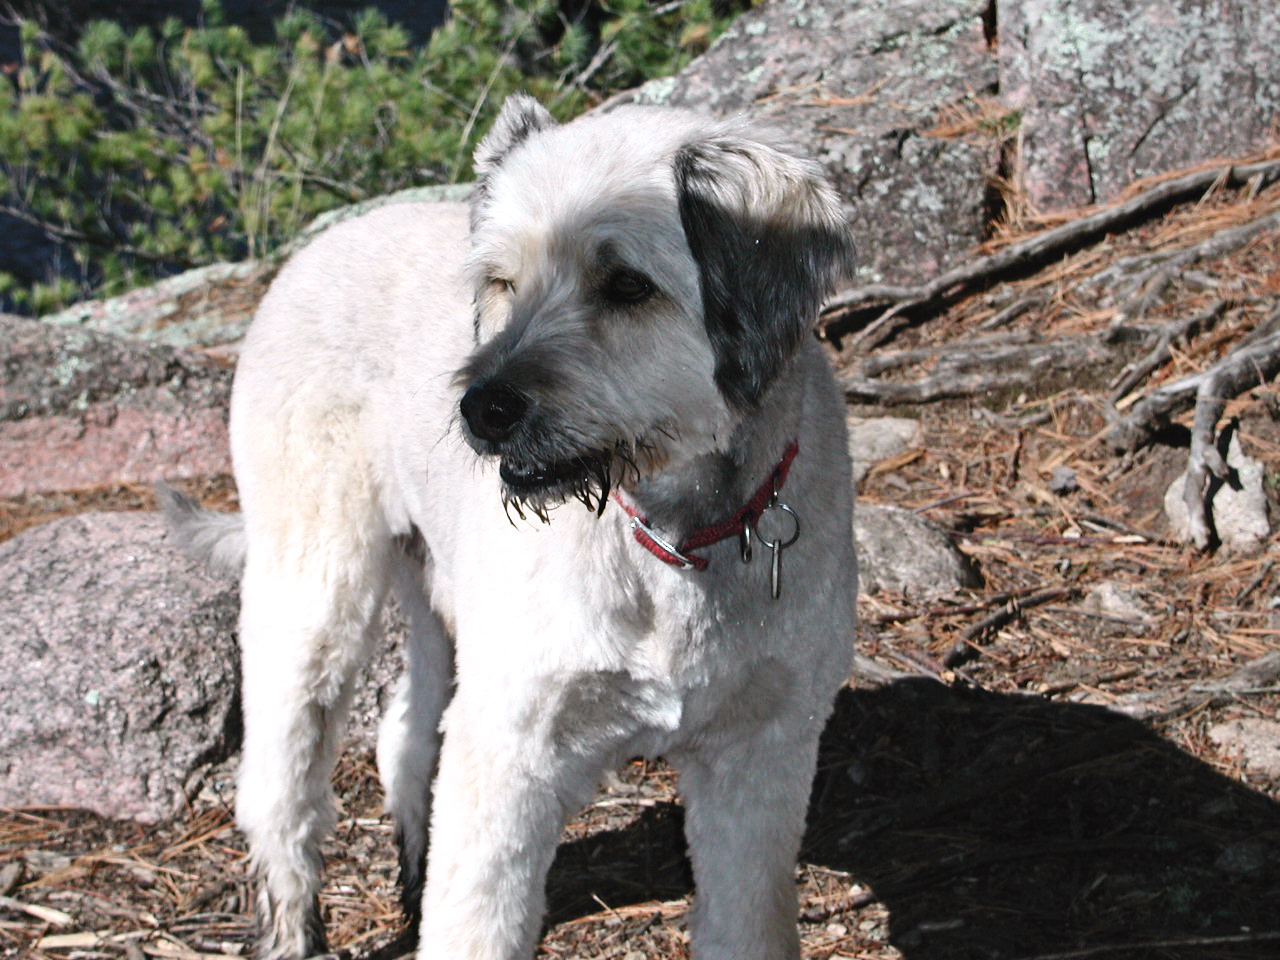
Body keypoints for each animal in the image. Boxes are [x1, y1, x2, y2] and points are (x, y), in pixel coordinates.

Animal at [166, 94, 857, 960]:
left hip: (438, 598)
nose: (483, 408)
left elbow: (747, 918)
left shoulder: (762, 758)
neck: (668, 533)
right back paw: (292, 923)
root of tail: (315, 249)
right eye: (501, 281)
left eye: (626, 284)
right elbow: (477, 920)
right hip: (317, 589)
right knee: (278, 785)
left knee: (405, 729)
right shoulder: (509, 751)